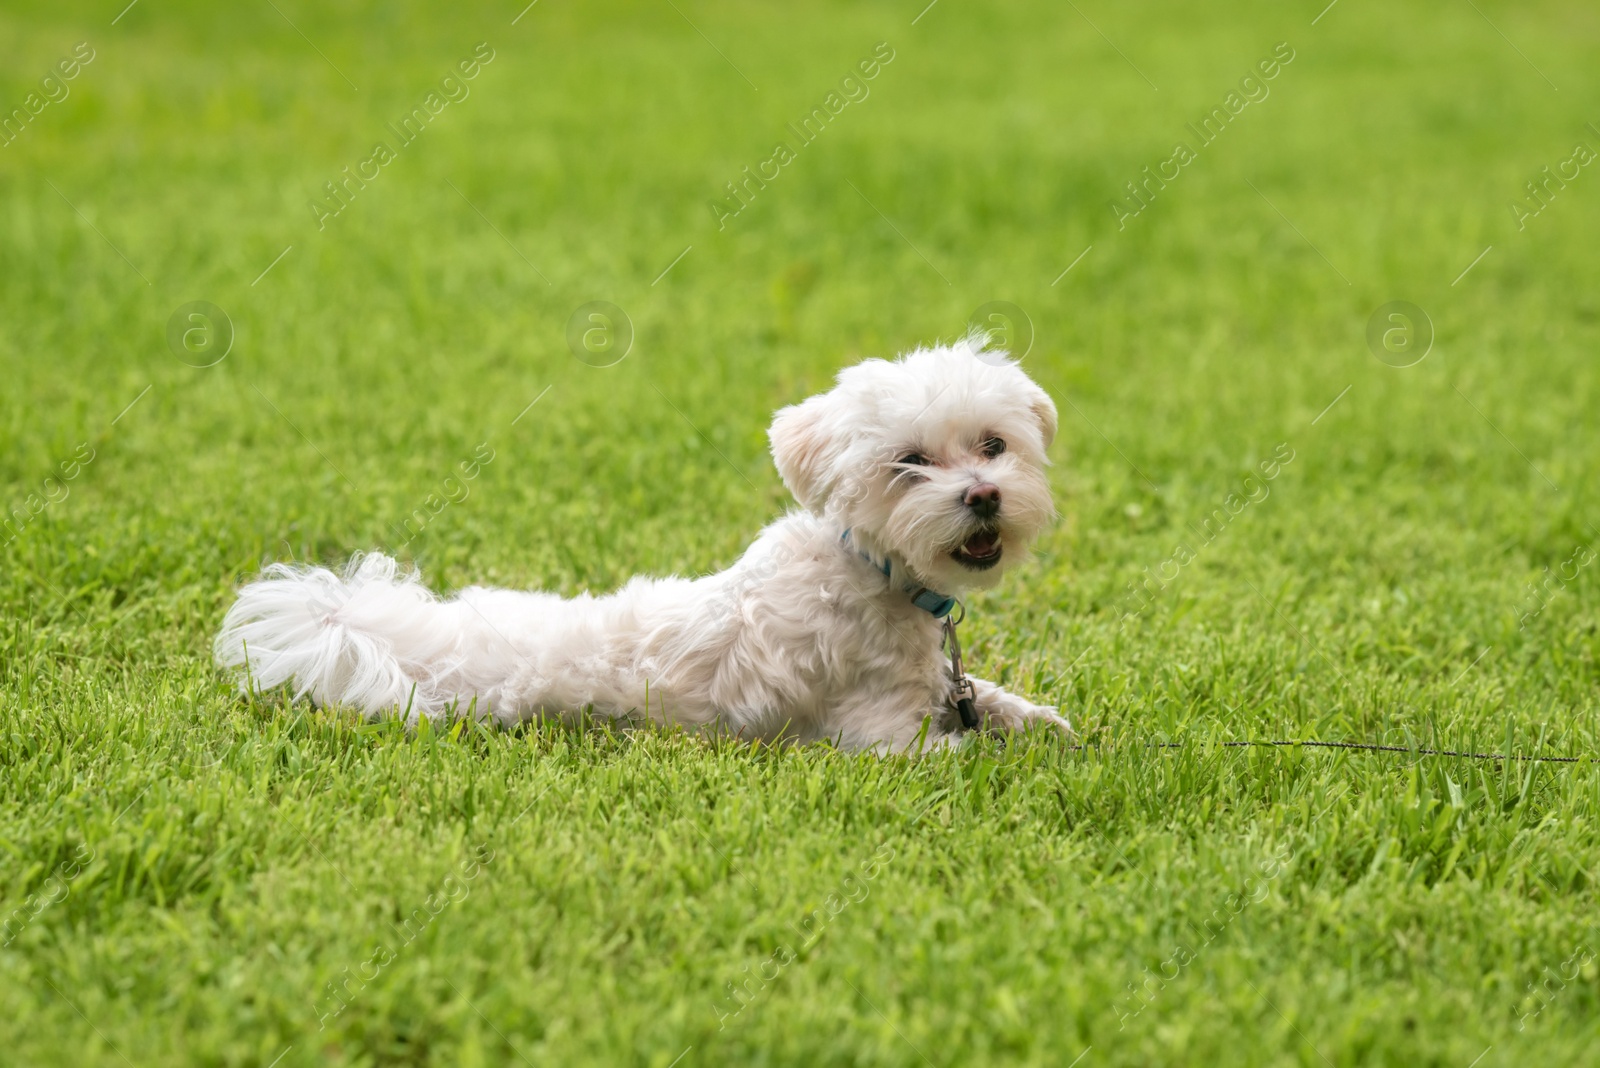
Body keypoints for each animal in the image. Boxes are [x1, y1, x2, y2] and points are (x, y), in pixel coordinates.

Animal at [209, 334, 1062, 751]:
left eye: (994, 445)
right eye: (909, 463)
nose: (983, 495)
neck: (872, 569)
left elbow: (989, 699)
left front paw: (1039, 720)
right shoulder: (882, 736)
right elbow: (968, 753)